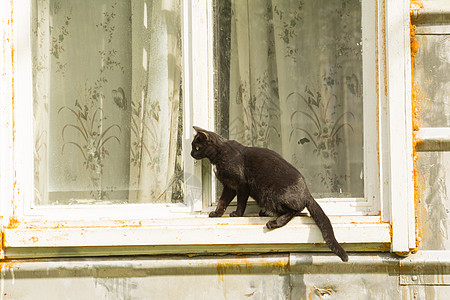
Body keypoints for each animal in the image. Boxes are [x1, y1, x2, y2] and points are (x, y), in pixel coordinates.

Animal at [190, 125, 348, 262]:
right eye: (192, 146)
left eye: (197, 147)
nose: (191, 153)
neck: (219, 154)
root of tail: (307, 193)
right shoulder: (229, 186)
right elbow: (222, 201)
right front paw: (216, 213)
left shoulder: (242, 184)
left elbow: (241, 201)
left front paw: (237, 214)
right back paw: (265, 213)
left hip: (270, 194)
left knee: (295, 210)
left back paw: (274, 221)